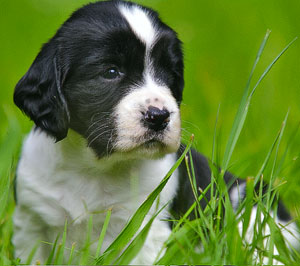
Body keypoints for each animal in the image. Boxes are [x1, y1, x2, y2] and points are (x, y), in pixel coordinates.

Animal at [12, 0, 298, 262]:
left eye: (170, 74)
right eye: (111, 71)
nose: (159, 117)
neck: (93, 168)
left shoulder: (147, 228)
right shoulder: (30, 222)